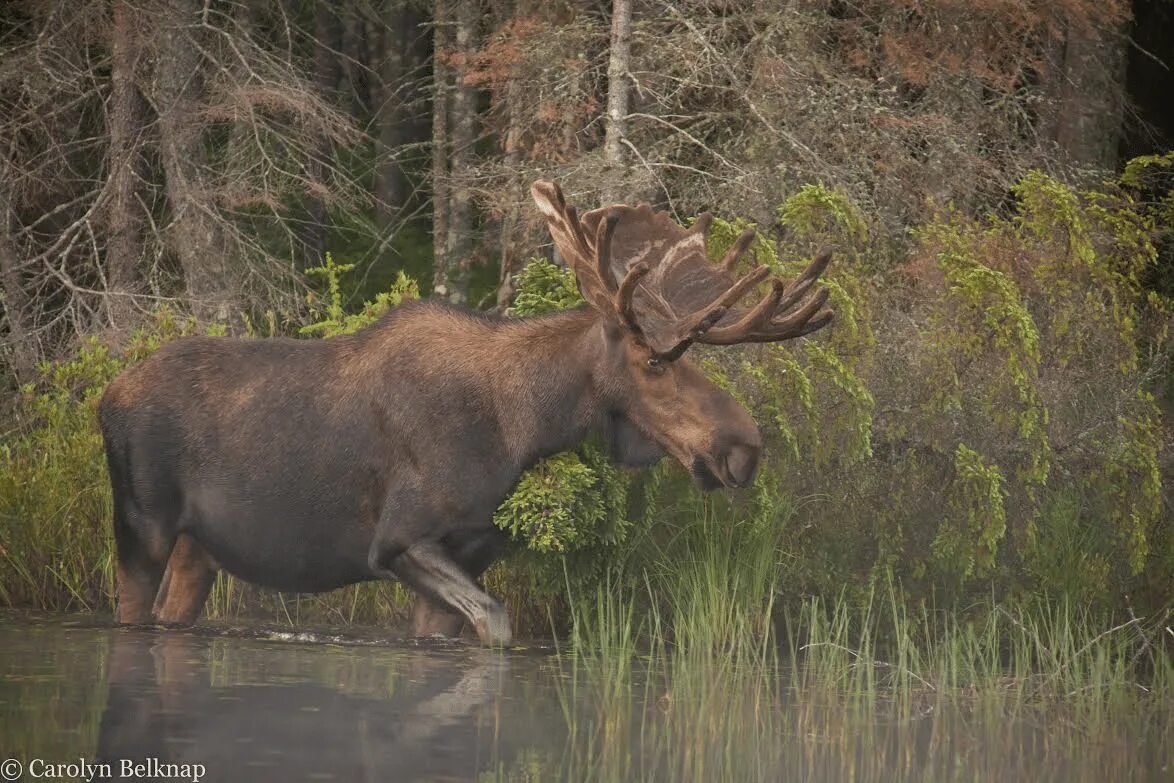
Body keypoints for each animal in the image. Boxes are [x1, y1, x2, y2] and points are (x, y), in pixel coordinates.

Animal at [100, 180, 835, 648]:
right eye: (655, 360)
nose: (743, 446)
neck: (522, 425)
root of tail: (105, 397)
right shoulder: (399, 539)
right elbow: (501, 626)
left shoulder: (469, 553)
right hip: (142, 524)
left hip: (199, 549)